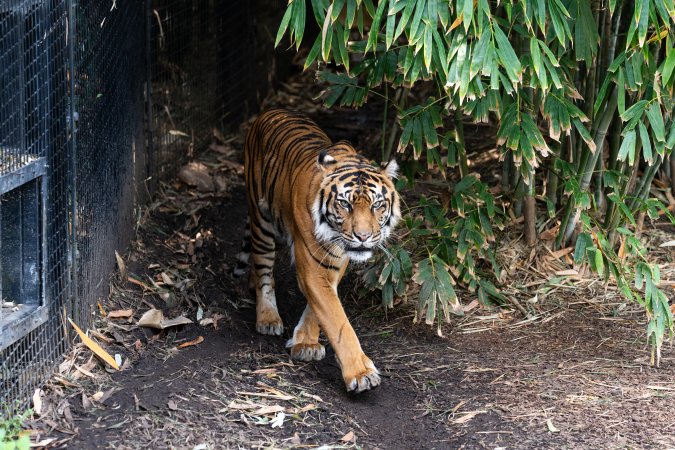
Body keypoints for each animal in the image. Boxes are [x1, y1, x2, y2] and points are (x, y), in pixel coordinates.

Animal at [237, 108, 401, 393]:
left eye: (377, 205)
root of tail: (271, 111)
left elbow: (320, 306)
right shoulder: (312, 264)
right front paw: (361, 373)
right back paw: (267, 317)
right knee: (264, 268)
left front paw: (306, 342)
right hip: (261, 219)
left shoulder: (336, 261)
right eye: (345, 204)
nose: (363, 237)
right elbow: (337, 320)